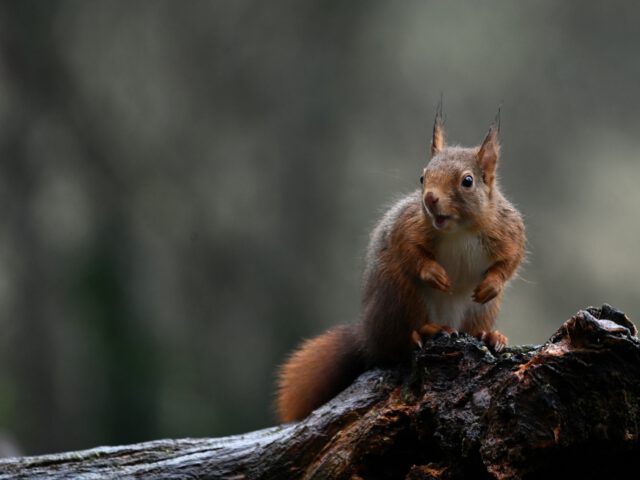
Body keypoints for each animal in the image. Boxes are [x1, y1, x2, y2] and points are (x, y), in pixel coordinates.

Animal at [276, 107, 526, 423]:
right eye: (422, 177)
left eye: (467, 181)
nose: (430, 199)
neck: (459, 230)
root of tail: (367, 336)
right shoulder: (407, 226)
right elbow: (408, 250)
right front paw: (435, 273)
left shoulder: (509, 229)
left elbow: (511, 259)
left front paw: (492, 284)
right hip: (400, 295)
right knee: (394, 346)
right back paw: (426, 332)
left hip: (479, 311)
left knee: (469, 328)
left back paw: (489, 335)